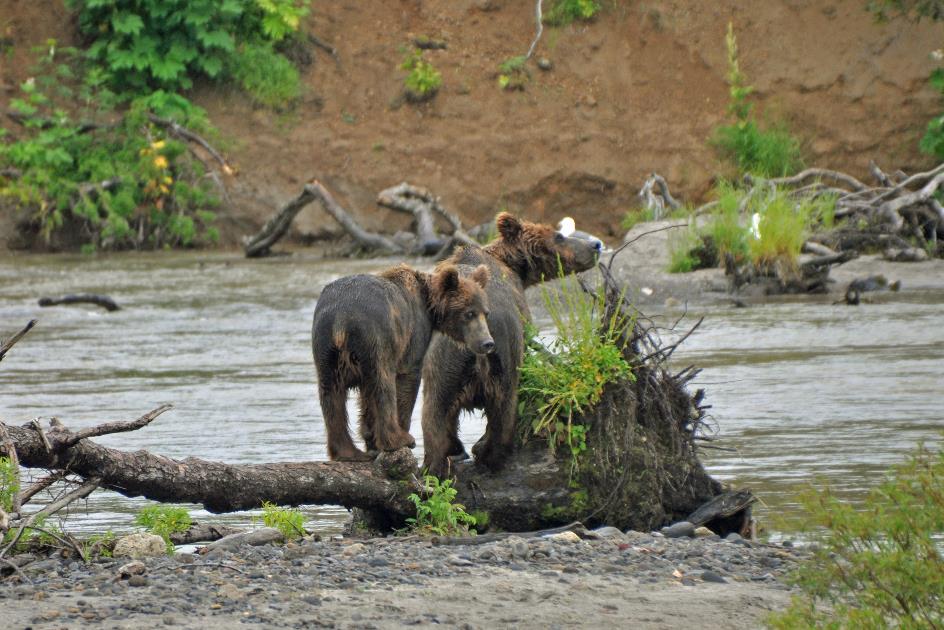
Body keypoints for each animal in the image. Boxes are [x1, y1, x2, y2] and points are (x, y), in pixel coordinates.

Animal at [318, 264, 494, 462]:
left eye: (485, 313)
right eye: (469, 313)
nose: (487, 343)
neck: (429, 307)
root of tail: (342, 318)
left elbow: (365, 398)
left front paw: (371, 441)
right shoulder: (412, 335)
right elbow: (406, 380)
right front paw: (401, 437)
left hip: (326, 344)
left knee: (331, 394)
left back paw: (347, 452)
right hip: (376, 336)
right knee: (383, 384)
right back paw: (397, 439)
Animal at [424, 214, 600, 478]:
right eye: (558, 235)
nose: (595, 245)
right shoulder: (521, 319)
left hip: (455, 360)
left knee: (437, 414)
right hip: (494, 353)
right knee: (499, 408)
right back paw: (484, 453)